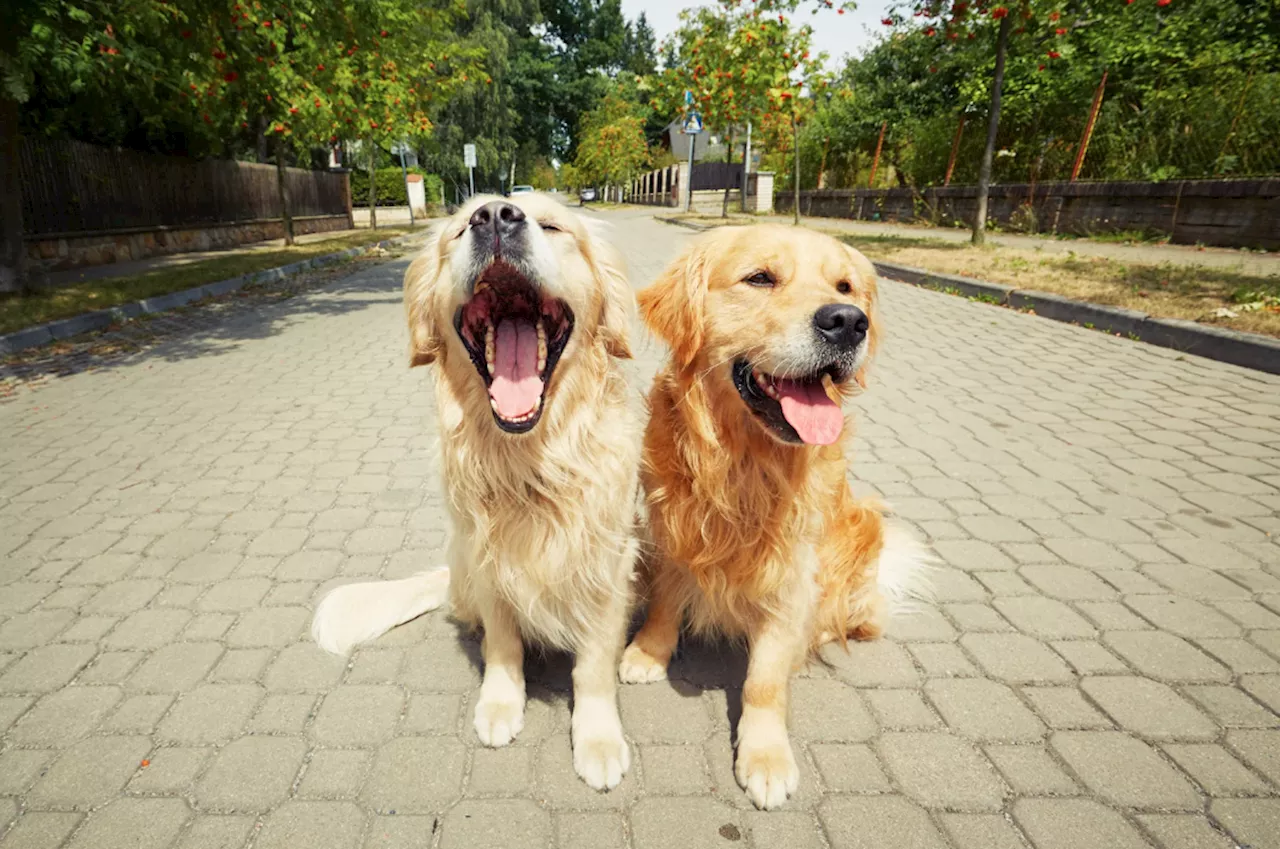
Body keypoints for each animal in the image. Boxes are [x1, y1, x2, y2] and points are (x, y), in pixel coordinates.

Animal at [616, 224, 931, 809]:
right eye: (760, 278)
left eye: (845, 286)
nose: (848, 321)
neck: (744, 462)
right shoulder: (670, 528)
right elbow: (666, 601)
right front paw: (648, 652)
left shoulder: (792, 573)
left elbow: (763, 678)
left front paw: (764, 756)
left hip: (861, 535)